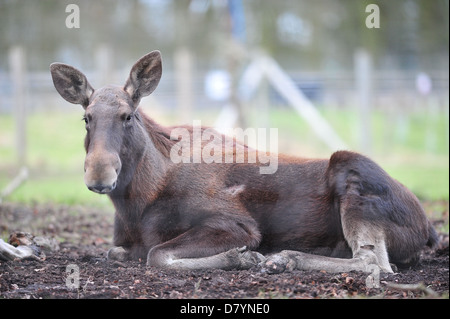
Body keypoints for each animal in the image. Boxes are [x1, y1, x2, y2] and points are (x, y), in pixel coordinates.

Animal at [47, 51, 438, 274]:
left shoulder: (238, 225)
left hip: (352, 170)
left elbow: (157, 254)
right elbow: (117, 252)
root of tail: (428, 229)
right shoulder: (123, 243)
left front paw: (241, 258)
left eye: (128, 116)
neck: (136, 202)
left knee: (376, 264)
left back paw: (285, 258)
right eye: (86, 118)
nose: (99, 174)